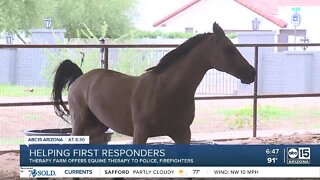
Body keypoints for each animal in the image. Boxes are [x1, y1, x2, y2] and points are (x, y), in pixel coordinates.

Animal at [52, 22, 255, 144]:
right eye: (228, 49)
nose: (251, 73)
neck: (167, 90)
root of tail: (80, 79)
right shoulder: (141, 134)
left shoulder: (183, 134)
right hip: (79, 125)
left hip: (97, 128)